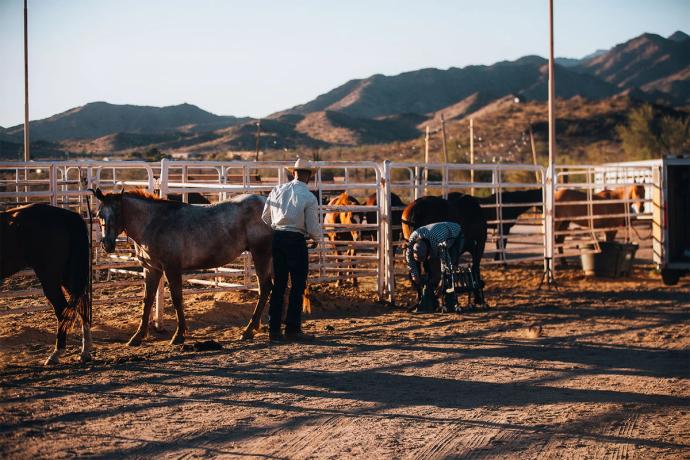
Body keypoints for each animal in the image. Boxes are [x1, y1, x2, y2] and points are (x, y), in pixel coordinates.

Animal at [0, 203, 90, 364]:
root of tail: (66, 216)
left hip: (50, 276)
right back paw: (85, 352)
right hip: (68, 275)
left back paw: (56, 354)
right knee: (82, 304)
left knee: (62, 309)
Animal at [90, 188, 272, 344]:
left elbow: (177, 298)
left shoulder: (171, 268)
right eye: (99, 214)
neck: (154, 223)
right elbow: (147, 300)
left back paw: (248, 330)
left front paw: (179, 335)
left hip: (261, 253)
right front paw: (137, 336)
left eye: (117, 213)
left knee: (264, 288)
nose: (107, 244)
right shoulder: (151, 269)